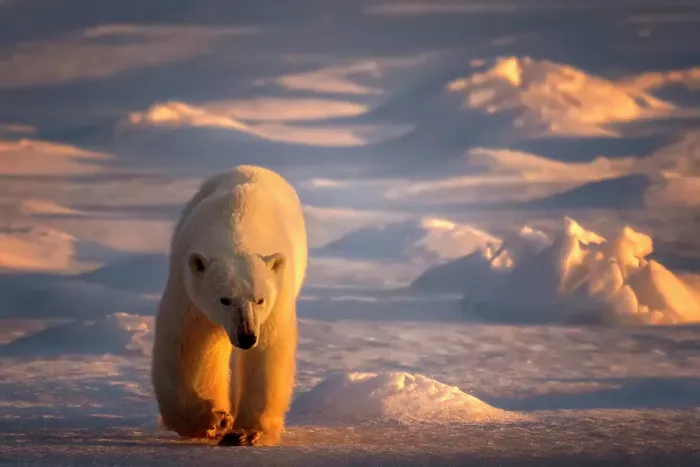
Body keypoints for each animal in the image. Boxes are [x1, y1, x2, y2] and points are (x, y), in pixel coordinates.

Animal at [151, 164, 307, 446]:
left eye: (260, 299)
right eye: (225, 299)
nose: (246, 336)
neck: (237, 232)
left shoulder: (277, 298)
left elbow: (268, 351)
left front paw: (247, 432)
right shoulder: (188, 290)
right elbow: (183, 344)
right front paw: (211, 419)